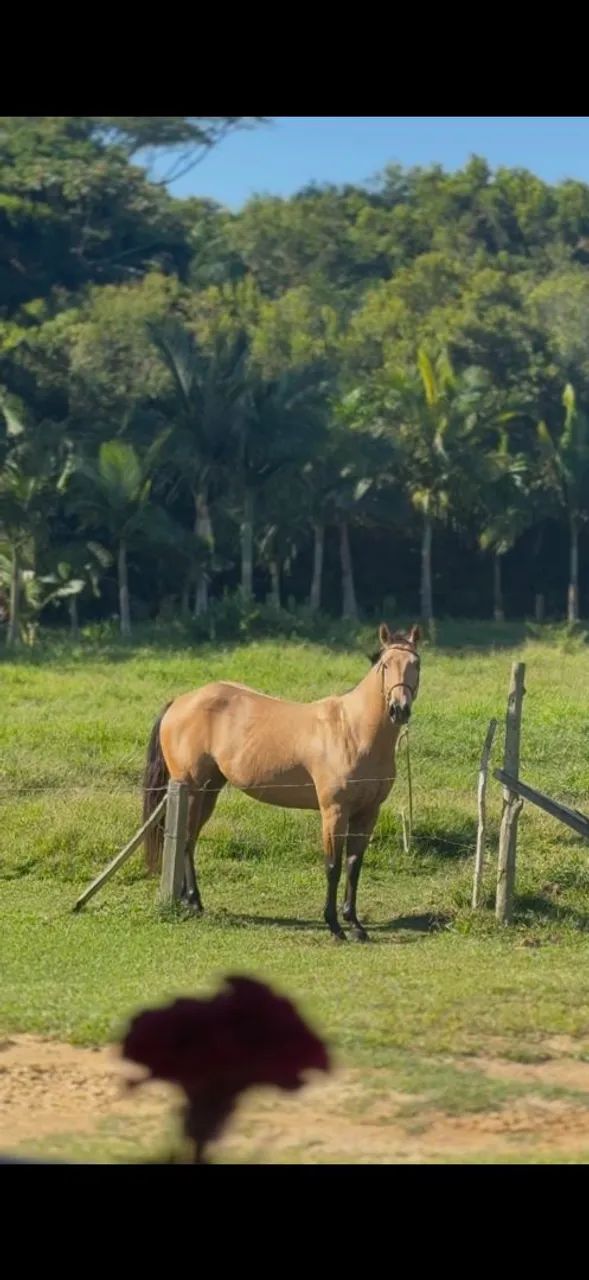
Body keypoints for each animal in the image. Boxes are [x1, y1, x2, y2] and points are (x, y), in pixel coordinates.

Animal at [143, 622, 421, 941]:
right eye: (385, 665)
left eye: (416, 664)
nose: (399, 709)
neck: (353, 730)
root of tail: (179, 702)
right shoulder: (334, 811)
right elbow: (333, 865)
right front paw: (334, 925)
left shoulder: (368, 813)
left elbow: (354, 865)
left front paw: (355, 924)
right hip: (191, 791)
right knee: (186, 840)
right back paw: (193, 901)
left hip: (209, 790)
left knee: (189, 841)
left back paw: (192, 901)